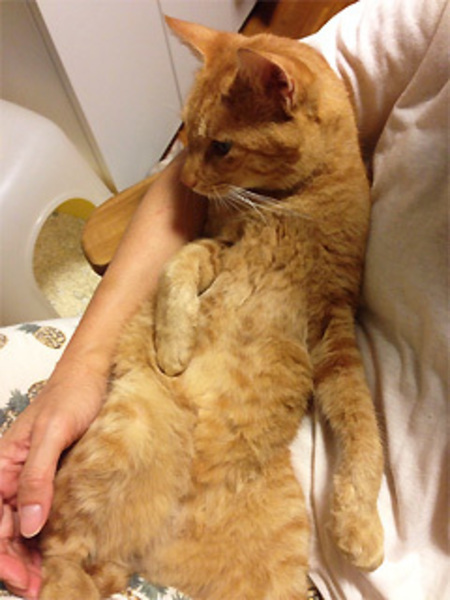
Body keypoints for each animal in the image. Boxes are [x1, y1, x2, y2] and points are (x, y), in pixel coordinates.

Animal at [39, 17, 384, 600]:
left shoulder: (334, 323)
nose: (184, 181)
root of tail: (149, 552)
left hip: (275, 570)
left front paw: (359, 524)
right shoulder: (220, 246)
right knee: (60, 560)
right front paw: (174, 346)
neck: (294, 205)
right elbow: (177, 266)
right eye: (187, 135)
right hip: (120, 439)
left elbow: (361, 423)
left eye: (221, 146)